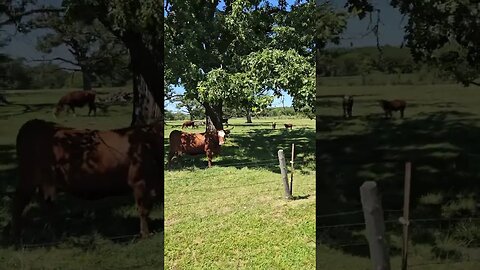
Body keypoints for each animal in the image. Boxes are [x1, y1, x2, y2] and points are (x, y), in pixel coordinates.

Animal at [10, 118, 163, 238]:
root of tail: (35, 123)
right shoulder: (140, 181)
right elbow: (143, 210)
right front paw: (145, 234)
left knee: (47, 203)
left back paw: (52, 231)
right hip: (28, 177)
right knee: (18, 203)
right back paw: (17, 236)